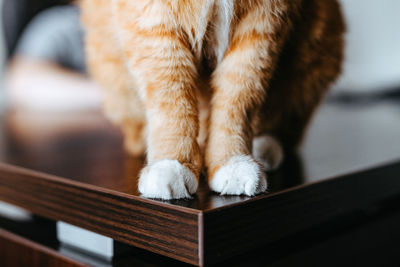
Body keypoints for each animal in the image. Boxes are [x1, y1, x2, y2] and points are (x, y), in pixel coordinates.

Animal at [80, 0, 344, 200]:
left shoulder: (263, 25)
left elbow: (236, 101)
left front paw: (231, 160)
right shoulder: (153, 23)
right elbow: (172, 100)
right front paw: (172, 162)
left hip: (321, 42)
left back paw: (262, 148)